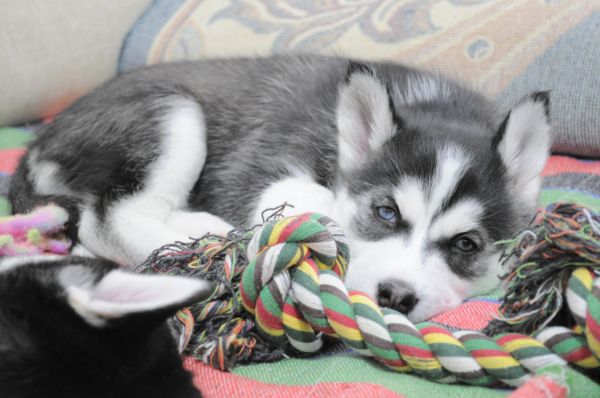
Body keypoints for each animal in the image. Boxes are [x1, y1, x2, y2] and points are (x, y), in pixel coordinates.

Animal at [10, 56, 552, 322]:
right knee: (108, 217)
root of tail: (38, 143)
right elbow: (306, 202)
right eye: (386, 214)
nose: (395, 295)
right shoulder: (268, 166)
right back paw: (202, 245)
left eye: (466, 245)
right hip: (174, 114)